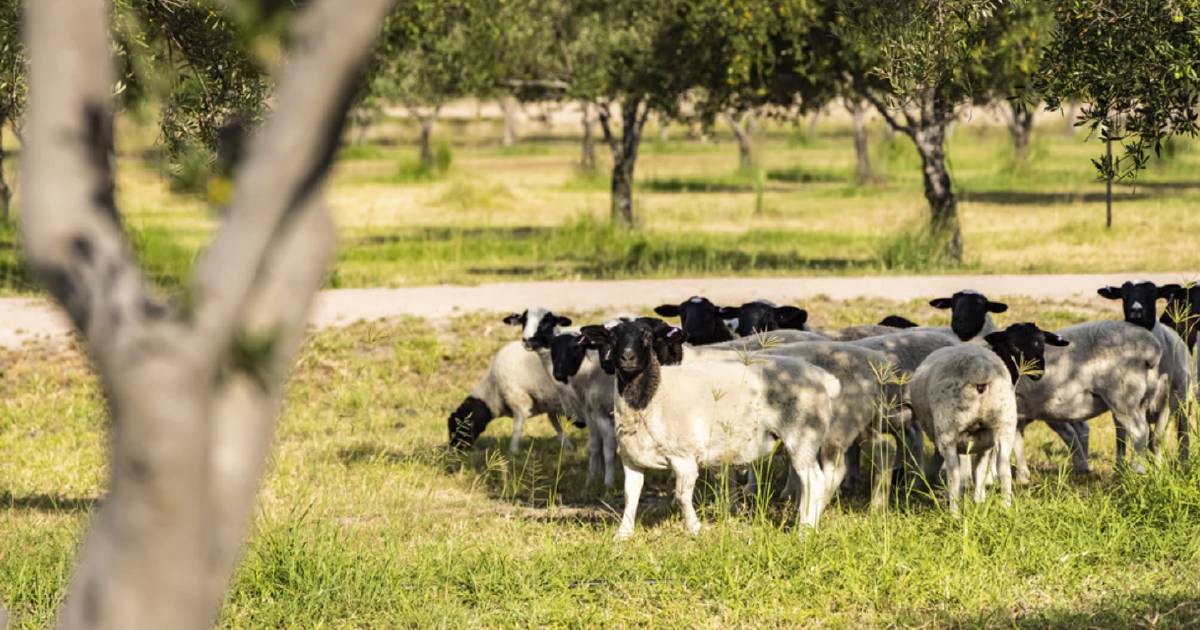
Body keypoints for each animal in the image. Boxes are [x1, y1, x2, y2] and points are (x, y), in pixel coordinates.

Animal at [576, 321, 840, 537]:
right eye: (612, 337)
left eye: (647, 336)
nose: (627, 358)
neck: (650, 398)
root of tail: (824, 378)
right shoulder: (632, 459)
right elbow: (631, 495)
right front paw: (623, 534)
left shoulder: (684, 458)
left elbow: (682, 495)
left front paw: (694, 528)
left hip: (803, 435)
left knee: (814, 480)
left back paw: (806, 530)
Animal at [902, 321, 1065, 513]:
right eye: (1014, 345)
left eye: (1042, 344)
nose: (1037, 371)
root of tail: (979, 371)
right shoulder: (985, 439)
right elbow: (980, 470)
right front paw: (979, 499)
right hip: (1004, 422)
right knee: (1004, 468)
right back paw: (1005, 506)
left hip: (949, 427)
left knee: (954, 471)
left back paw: (954, 512)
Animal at [1099, 279, 1195, 460]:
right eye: (1124, 294)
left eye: (1152, 293)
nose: (1136, 310)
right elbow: (1123, 440)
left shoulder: (1166, 404)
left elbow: (1156, 441)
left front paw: (1157, 467)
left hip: (1183, 403)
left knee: (1183, 434)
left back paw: (1184, 461)